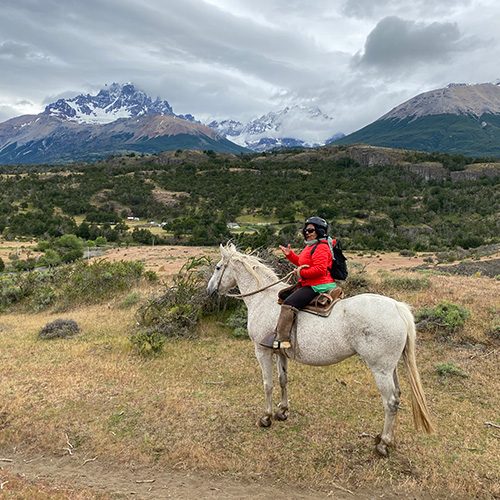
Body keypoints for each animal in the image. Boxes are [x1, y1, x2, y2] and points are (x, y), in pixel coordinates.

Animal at [207, 244, 434, 456]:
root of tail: (398, 308)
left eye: (218, 267)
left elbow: (268, 384)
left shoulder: (262, 351)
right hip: (391, 368)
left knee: (391, 402)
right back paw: (385, 439)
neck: (263, 299)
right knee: (397, 395)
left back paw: (383, 444)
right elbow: (283, 380)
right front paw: (283, 411)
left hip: (381, 370)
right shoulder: (280, 352)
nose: (209, 290)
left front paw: (266, 417)